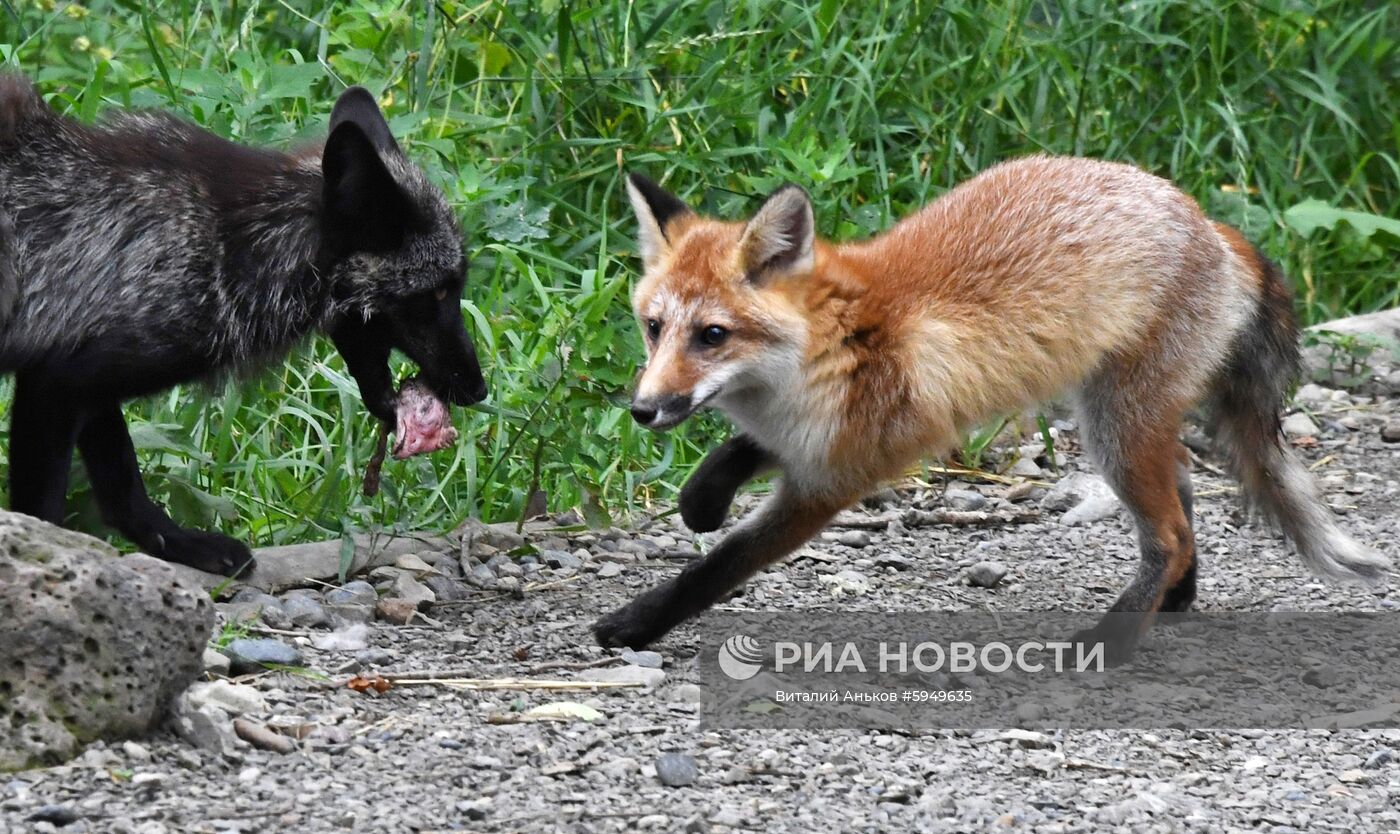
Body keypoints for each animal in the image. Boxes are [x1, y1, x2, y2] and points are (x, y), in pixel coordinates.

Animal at [0, 76, 487, 573]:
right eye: (440, 292)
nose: (479, 389)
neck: (225, 247)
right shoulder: (57, 382)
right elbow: (47, 509)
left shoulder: (82, 378)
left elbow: (124, 490)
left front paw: (180, 546)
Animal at [593, 153, 1388, 654]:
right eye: (654, 328)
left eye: (713, 335)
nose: (643, 410)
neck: (831, 350)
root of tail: (1207, 223)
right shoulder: (807, 435)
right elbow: (734, 455)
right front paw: (701, 500)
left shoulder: (832, 479)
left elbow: (719, 566)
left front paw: (635, 624)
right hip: (1122, 420)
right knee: (1184, 501)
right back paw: (1176, 602)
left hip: (1116, 427)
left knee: (1170, 533)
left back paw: (1116, 641)